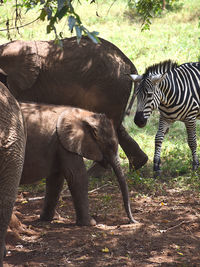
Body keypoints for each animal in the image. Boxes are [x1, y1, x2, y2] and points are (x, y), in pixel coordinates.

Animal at [0, 36, 148, 174]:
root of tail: (128, 62)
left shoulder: (25, 88)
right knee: (116, 126)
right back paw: (137, 164)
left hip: (110, 87)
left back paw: (94, 174)